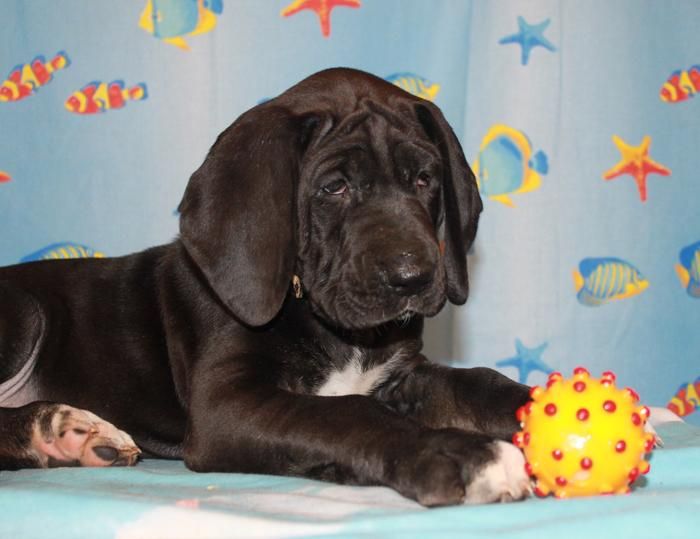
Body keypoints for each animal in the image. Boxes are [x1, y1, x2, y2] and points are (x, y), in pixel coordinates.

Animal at [0, 68, 532, 506]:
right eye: (334, 187)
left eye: (424, 179)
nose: (414, 276)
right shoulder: (225, 405)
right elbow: (348, 413)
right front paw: (459, 454)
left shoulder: (401, 375)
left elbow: (478, 384)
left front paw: (537, 401)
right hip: (24, 311)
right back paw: (59, 429)